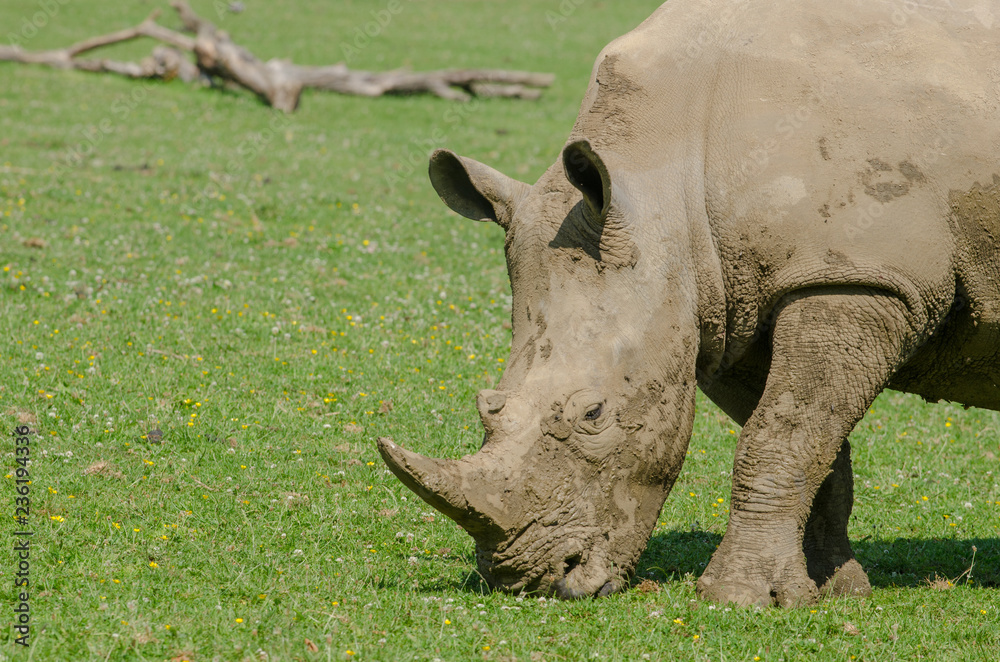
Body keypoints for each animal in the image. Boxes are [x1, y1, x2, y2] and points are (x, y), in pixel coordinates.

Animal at [378, 0, 1000, 606]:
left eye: (593, 415)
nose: (529, 580)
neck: (665, 177)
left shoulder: (859, 278)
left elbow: (780, 435)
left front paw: (737, 597)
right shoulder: (729, 309)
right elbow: (812, 445)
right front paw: (833, 590)